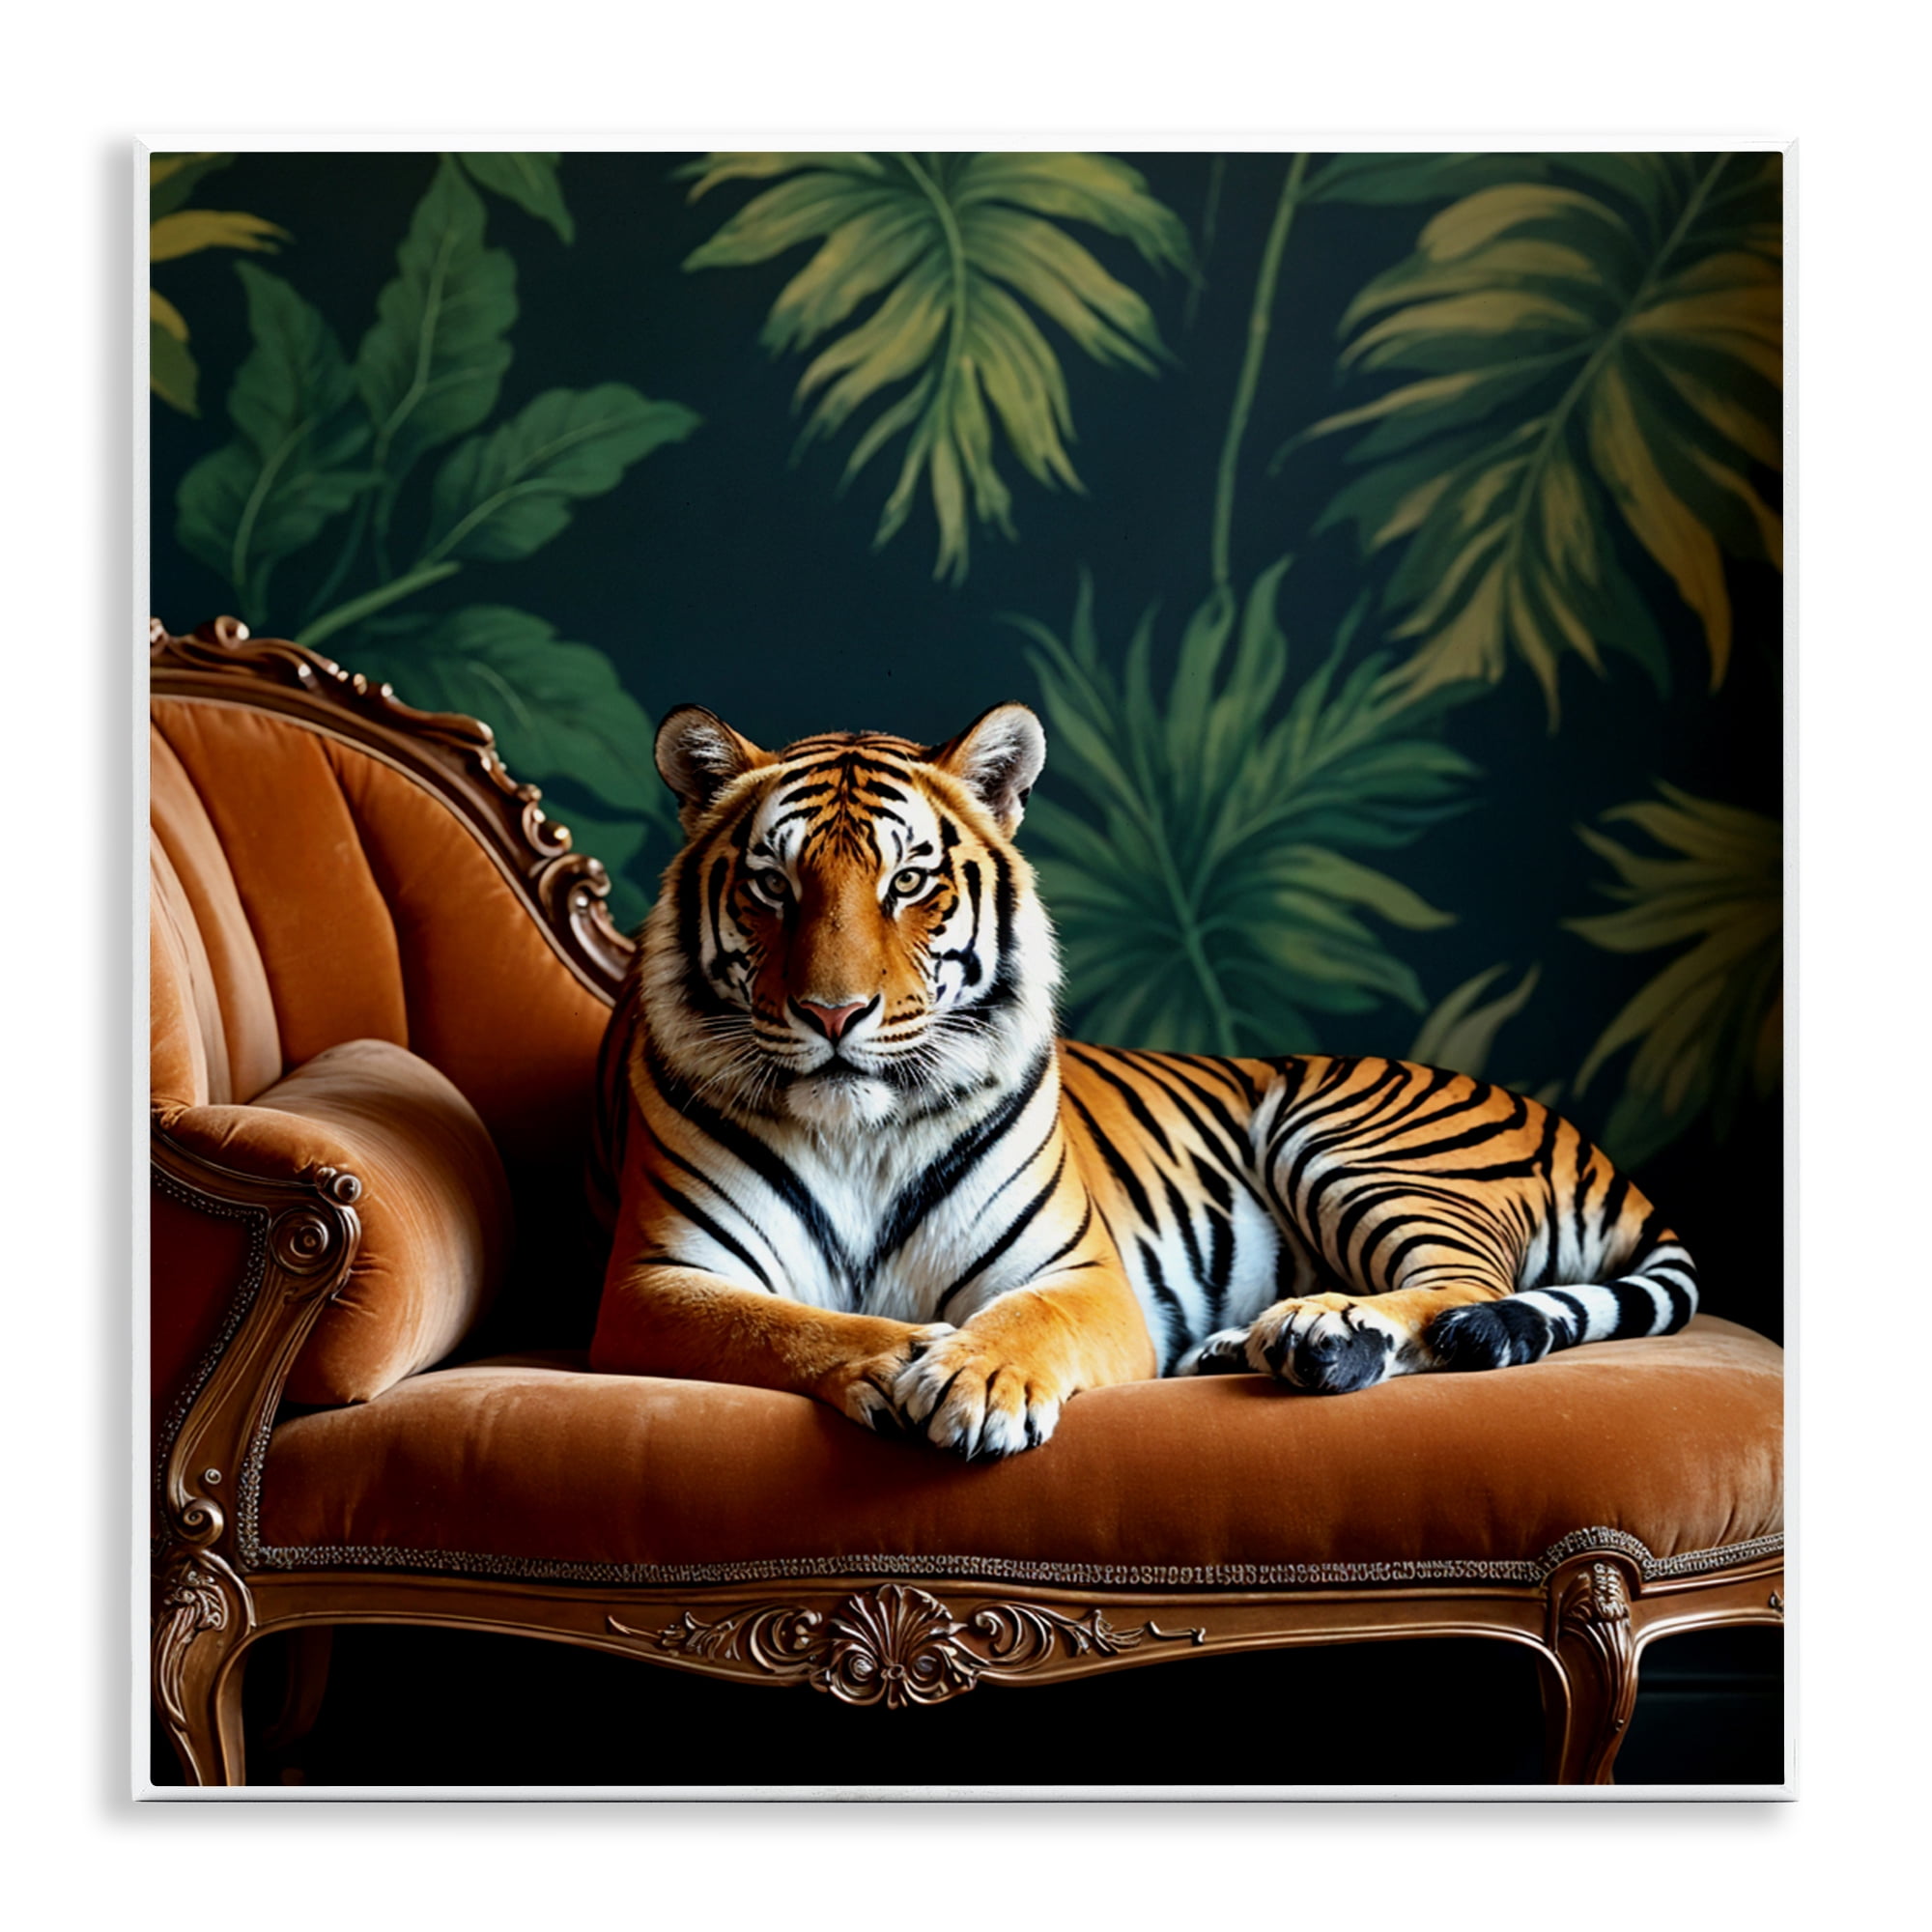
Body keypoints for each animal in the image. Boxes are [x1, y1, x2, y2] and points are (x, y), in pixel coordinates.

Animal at [587, 701, 1700, 1459]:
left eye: (908, 882)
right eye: (772, 885)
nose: (832, 1014)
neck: (860, 1132)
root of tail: (1587, 1143)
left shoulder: (1081, 1274)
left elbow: (1024, 1319)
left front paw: (979, 1377)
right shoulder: (655, 1282)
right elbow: (783, 1321)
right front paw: (901, 1356)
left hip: (1350, 1138)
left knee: (1465, 1290)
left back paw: (1320, 1330)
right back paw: (1250, 1346)